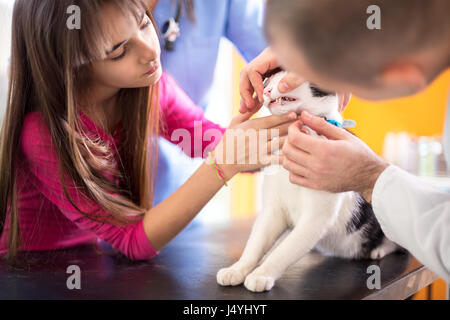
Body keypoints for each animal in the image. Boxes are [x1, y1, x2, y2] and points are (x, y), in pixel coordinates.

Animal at [217, 70, 400, 292]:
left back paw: (379, 249)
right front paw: (237, 269)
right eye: (267, 82)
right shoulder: (273, 210)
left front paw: (261, 274)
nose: (267, 90)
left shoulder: (315, 218)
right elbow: (255, 243)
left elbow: (284, 250)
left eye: (284, 79)